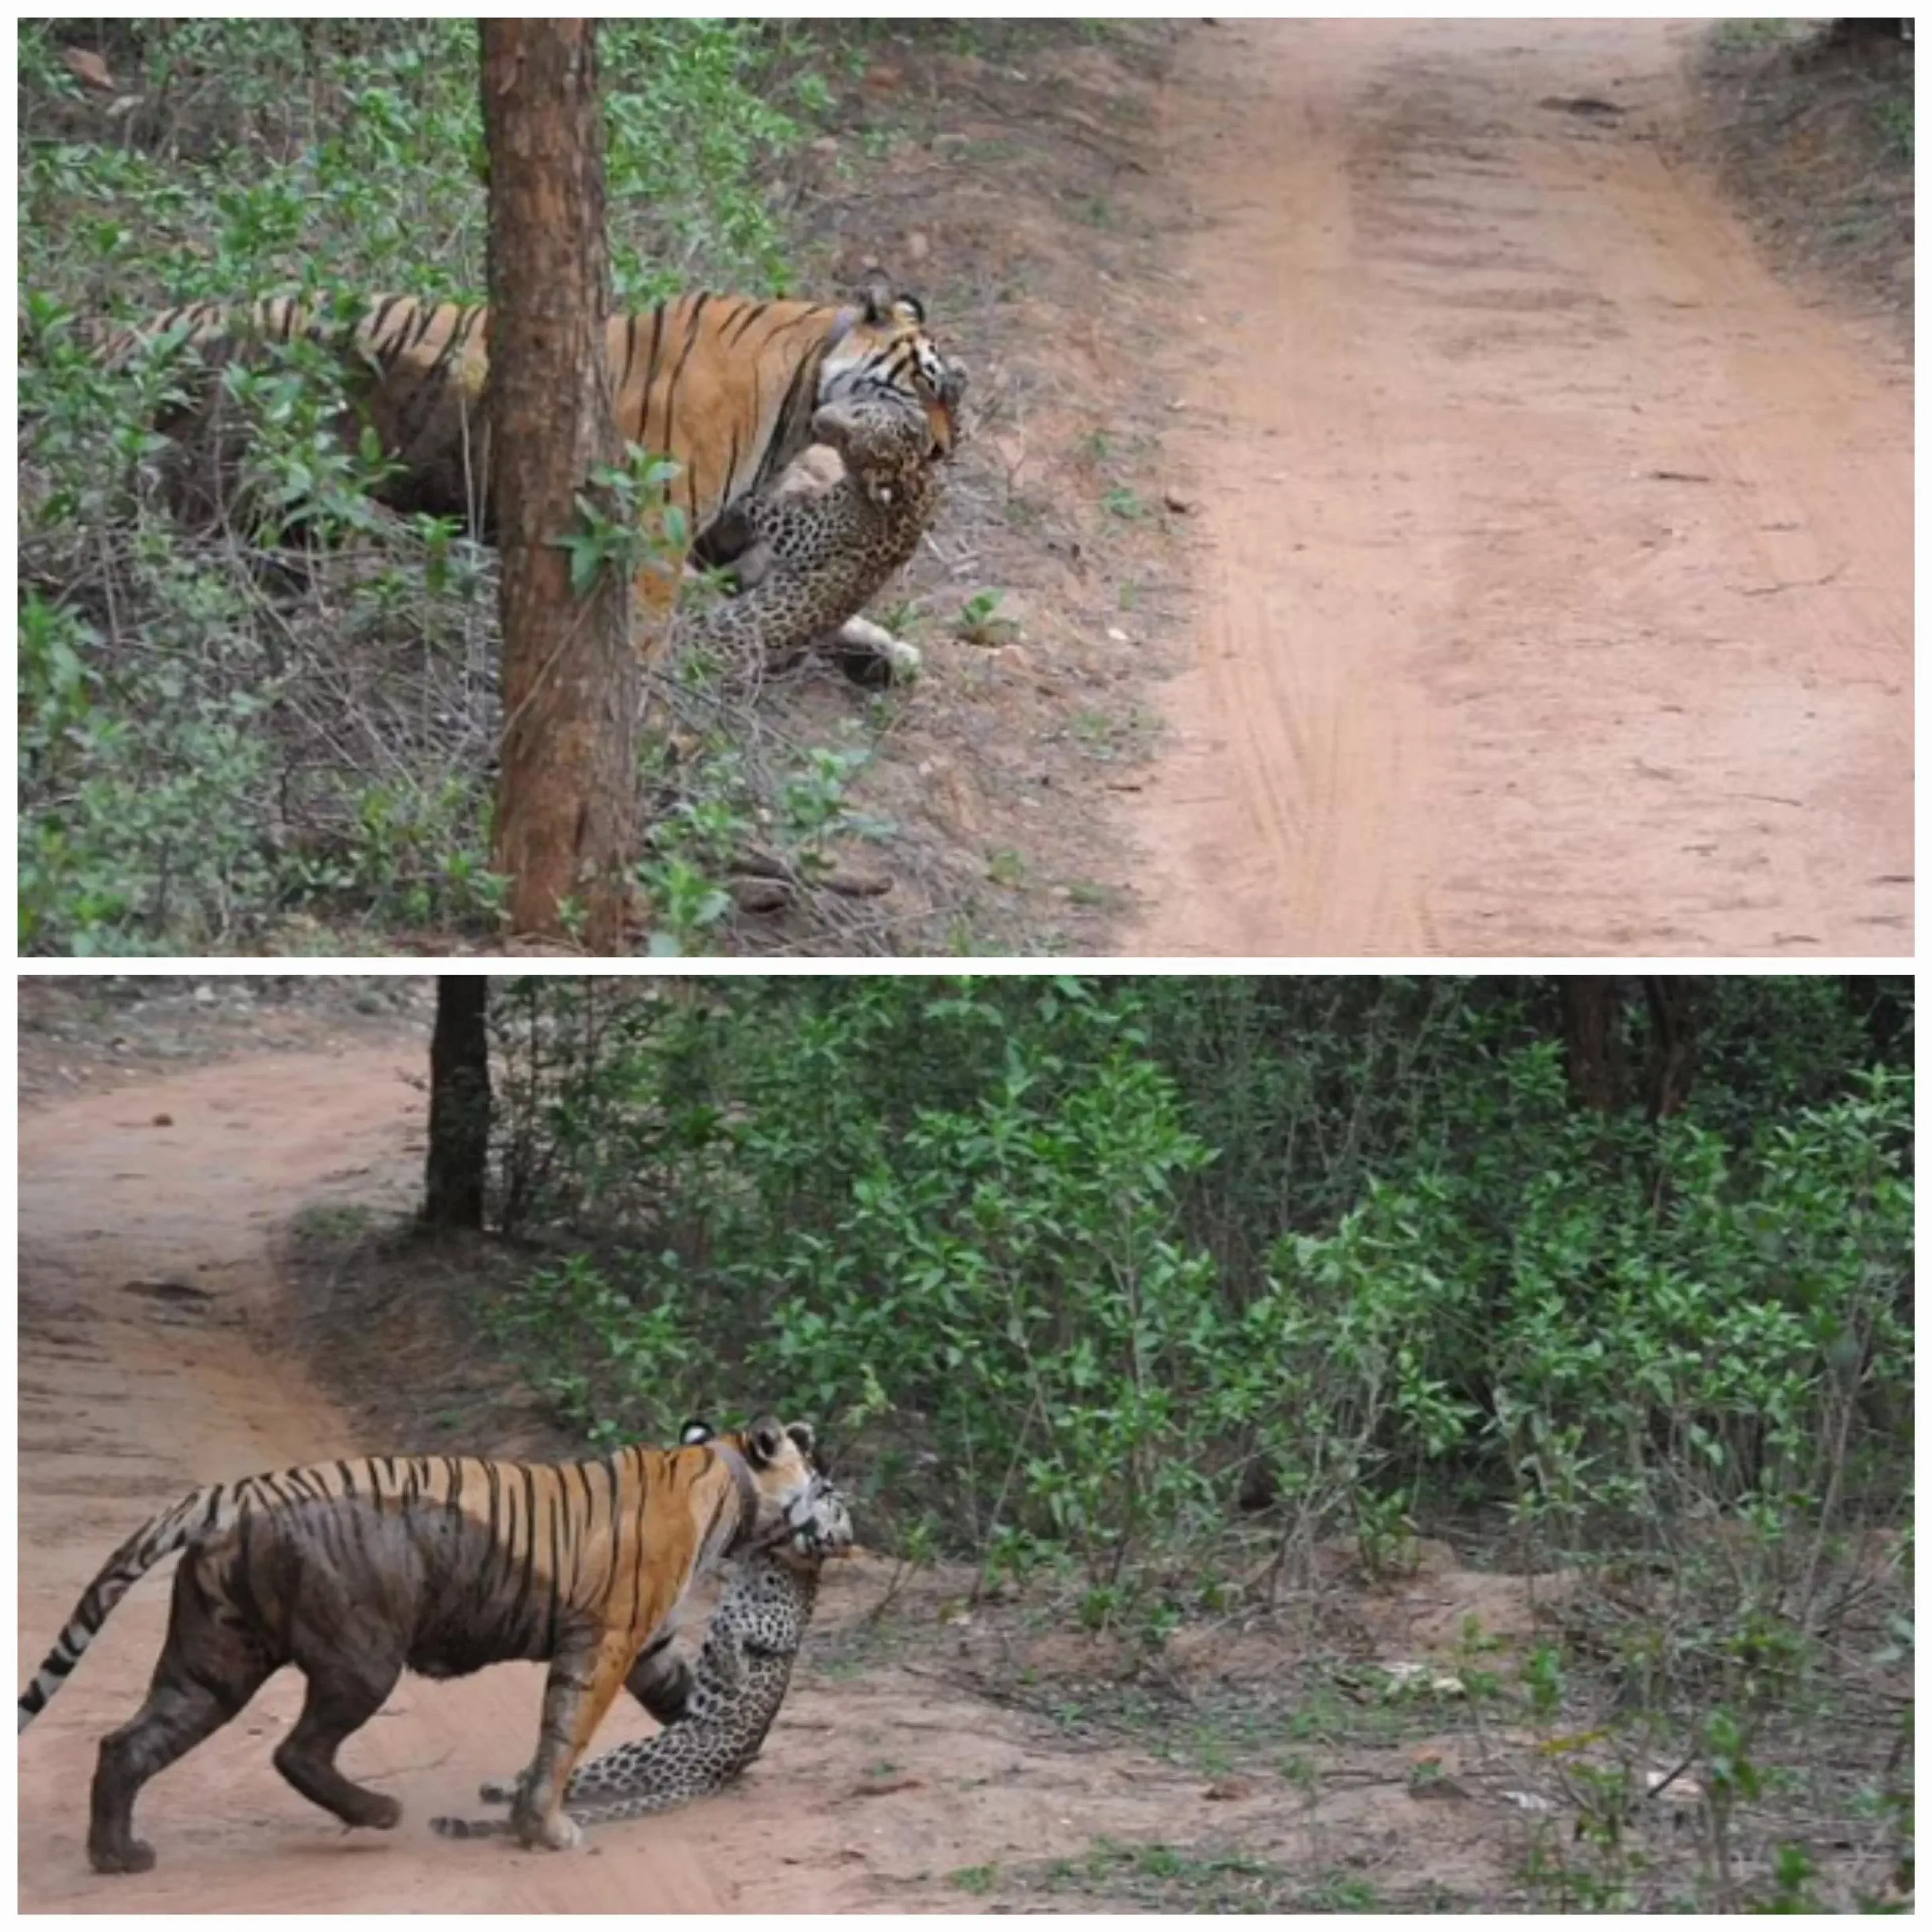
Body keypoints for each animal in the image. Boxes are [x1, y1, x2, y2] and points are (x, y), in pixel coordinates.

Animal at [16, 1414, 842, 1875]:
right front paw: (544, 1828)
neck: (729, 1490)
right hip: (361, 1656)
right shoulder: (605, 1641)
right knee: (296, 1750)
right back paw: (379, 1812)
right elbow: (564, 1737)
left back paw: (118, 1857)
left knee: (127, 1744)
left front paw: (725, 1753)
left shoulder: (651, 1644)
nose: (838, 1505)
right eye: (821, 1477)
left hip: (213, 1660)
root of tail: (237, 1494)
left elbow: (684, 1701)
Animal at [96, 274, 963, 654]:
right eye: (929, 388)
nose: (944, 451)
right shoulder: (656, 536)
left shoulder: (729, 528)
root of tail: (139, 329)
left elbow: (808, 596)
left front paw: (889, 648)